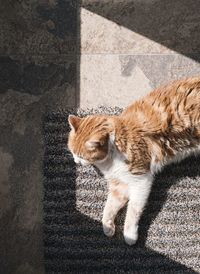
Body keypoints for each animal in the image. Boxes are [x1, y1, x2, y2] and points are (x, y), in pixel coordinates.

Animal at [67, 77, 200, 246]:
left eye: (81, 156)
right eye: (72, 152)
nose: (76, 161)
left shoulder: (140, 180)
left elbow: (133, 211)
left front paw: (130, 235)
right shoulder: (119, 185)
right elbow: (109, 206)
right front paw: (108, 226)